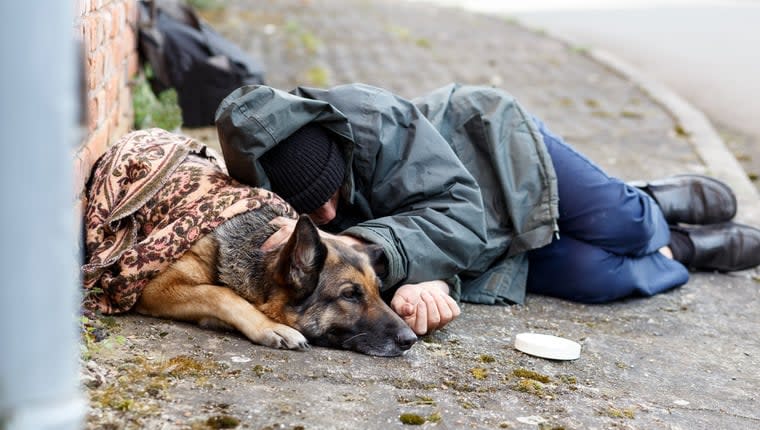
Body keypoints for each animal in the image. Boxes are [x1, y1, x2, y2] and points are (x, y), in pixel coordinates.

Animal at [131, 208, 416, 356]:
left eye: (379, 291)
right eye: (349, 295)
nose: (411, 339)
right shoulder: (155, 288)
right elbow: (220, 293)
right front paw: (271, 328)